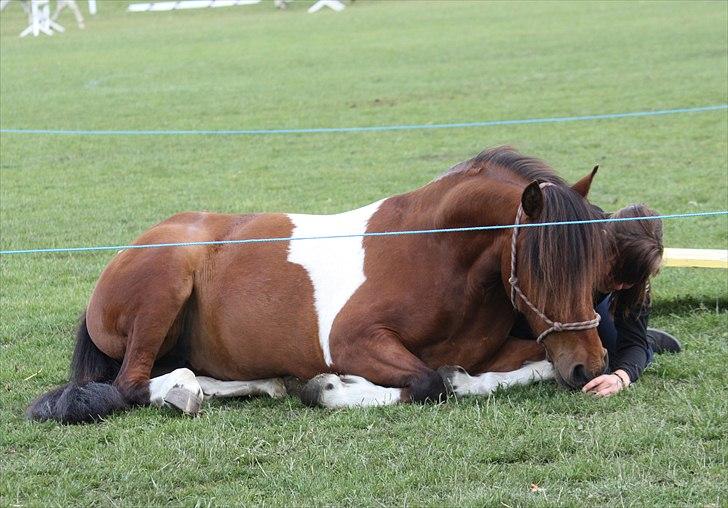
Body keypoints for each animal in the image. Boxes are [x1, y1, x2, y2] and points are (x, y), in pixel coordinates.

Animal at [28, 147, 608, 424]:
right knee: (130, 384)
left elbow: (523, 364)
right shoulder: (354, 341)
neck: (436, 253)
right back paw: (186, 393)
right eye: (543, 269)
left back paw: (239, 384)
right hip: (165, 282)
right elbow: (427, 383)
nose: (591, 366)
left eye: (596, 263)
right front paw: (328, 388)